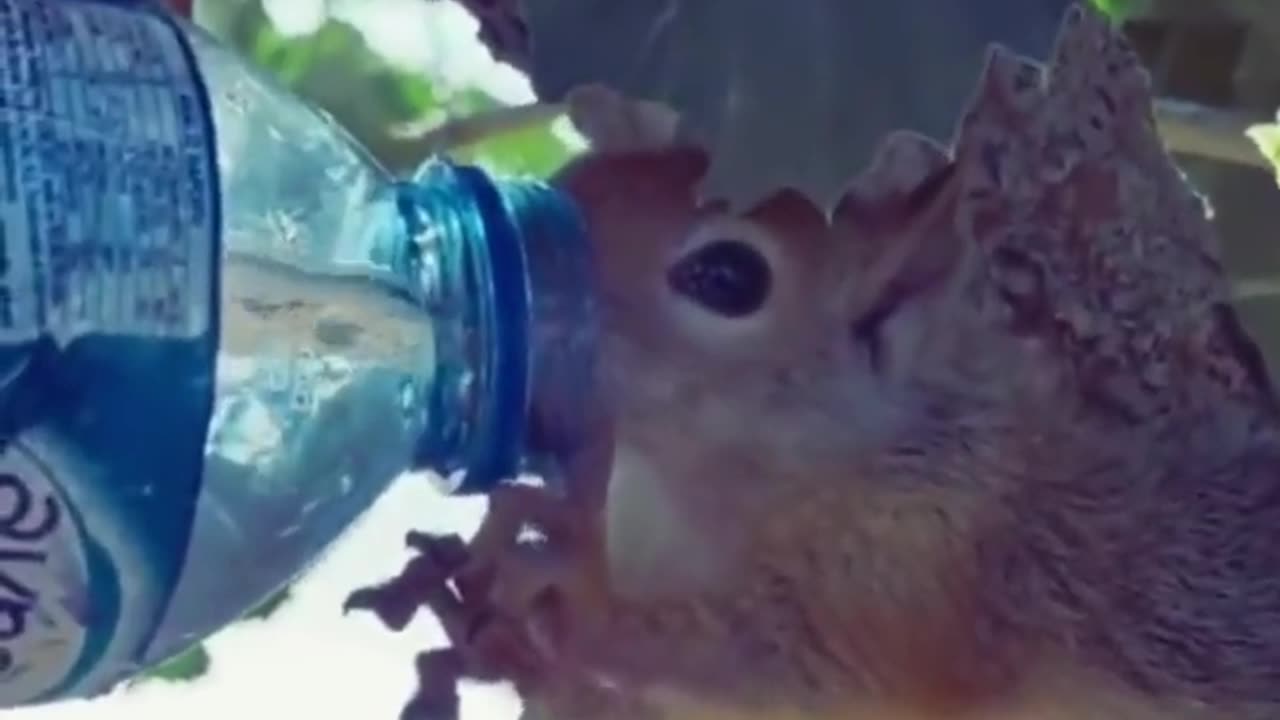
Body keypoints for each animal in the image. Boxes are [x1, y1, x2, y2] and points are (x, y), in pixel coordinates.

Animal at [345, 5, 1280, 717]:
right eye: (579, 169)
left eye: (729, 277)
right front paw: (510, 560)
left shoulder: (924, 579)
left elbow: (784, 670)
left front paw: (569, 588)